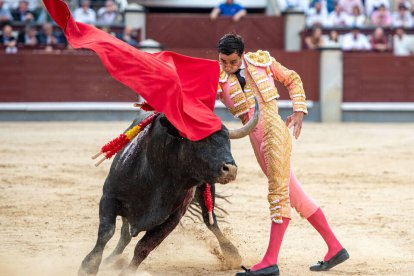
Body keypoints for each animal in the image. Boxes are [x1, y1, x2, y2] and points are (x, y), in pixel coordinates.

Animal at [78, 104, 258, 276]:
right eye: (200, 141)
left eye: (228, 140)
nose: (230, 169)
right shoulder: (109, 197)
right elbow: (106, 232)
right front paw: (88, 267)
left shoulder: (172, 218)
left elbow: (144, 247)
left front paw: (127, 272)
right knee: (125, 234)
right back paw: (110, 260)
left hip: (206, 189)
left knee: (210, 221)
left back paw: (232, 254)